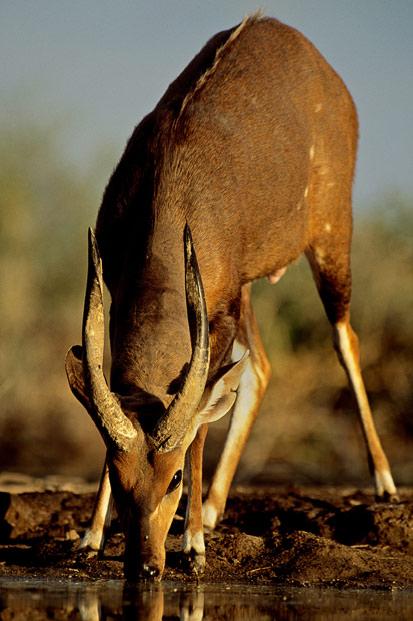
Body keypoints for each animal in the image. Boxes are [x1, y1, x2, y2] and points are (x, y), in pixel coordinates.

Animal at [66, 14, 398, 580]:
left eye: (174, 478)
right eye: (119, 470)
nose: (145, 566)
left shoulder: (217, 310)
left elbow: (199, 423)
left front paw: (194, 544)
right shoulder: (131, 291)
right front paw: (90, 536)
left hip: (331, 235)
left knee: (344, 338)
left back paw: (384, 483)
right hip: (248, 289)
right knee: (260, 366)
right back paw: (218, 507)